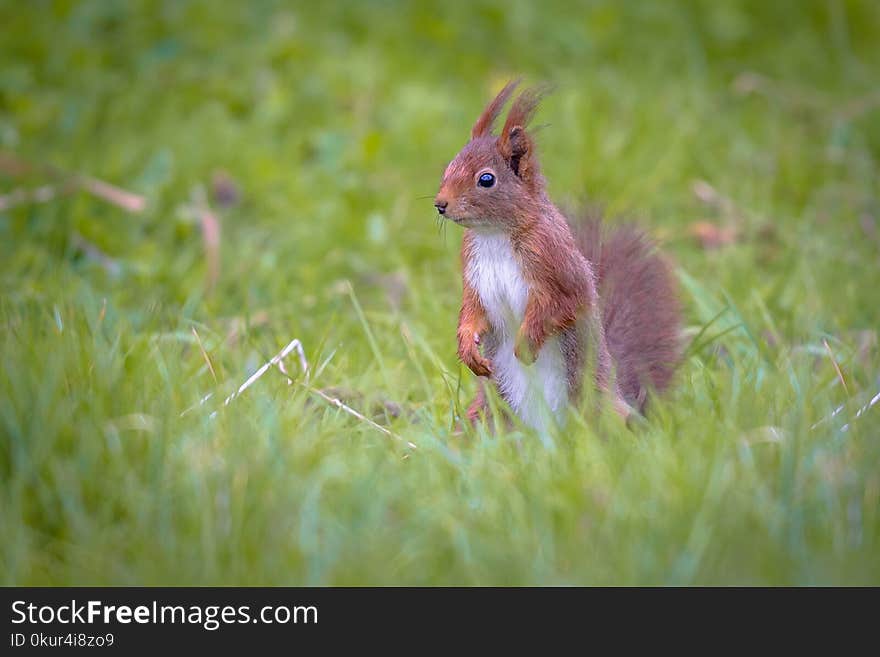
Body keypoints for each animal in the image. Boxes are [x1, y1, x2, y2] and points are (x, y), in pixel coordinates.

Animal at [434, 80, 680, 430]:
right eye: (449, 167)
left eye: (486, 179)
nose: (440, 204)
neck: (493, 236)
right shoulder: (474, 273)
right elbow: (472, 310)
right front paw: (467, 347)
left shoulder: (555, 261)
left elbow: (564, 304)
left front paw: (525, 344)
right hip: (486, 414)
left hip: (596, 406)